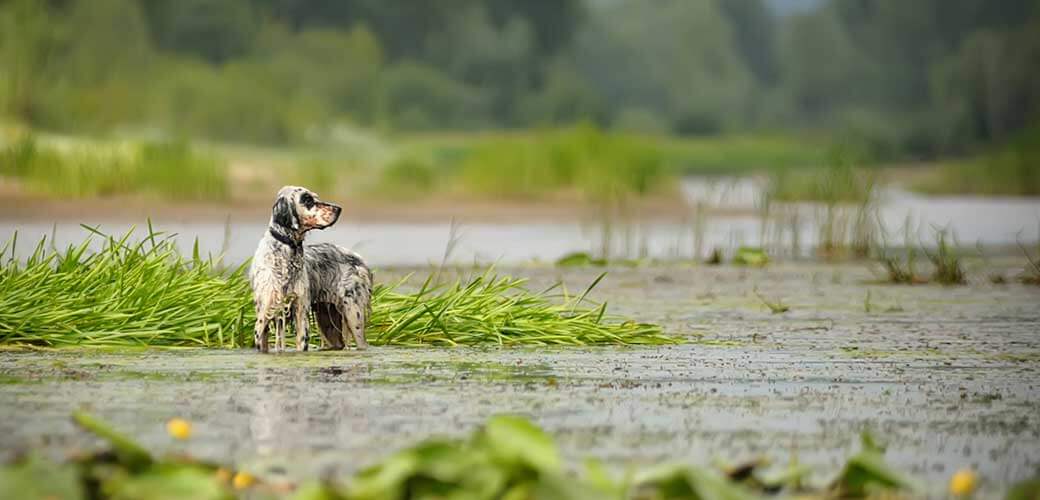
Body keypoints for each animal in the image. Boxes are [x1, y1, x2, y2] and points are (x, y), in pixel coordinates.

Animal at [249, 185, 372, 353]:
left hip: (353, 315)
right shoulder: (264, 316)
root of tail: (358, 258)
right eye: (307, 199)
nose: (338, 209)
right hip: (329, 321)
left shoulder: (301, 312)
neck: (287, 254)